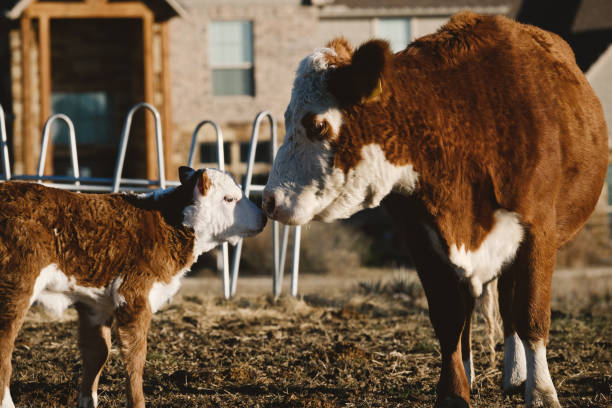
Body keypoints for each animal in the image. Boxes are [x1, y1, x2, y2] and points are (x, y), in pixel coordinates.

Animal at [0, 167, 268, 408]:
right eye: (229, 198)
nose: (264, 216)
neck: (169, 223)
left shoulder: (95, 304)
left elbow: (98, 353)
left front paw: (88, 401)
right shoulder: (134, 296)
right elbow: (135, 356)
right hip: (16, 286)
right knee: (4, 348)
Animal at [262, 11, 608, 406]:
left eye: (317, 124)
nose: (269, 200)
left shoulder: (538, 231)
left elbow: (531, 315)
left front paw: (541, 391)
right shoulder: (421, 238)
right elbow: (448, 319)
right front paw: (455, 391)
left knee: (510, 309)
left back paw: (517, 375)